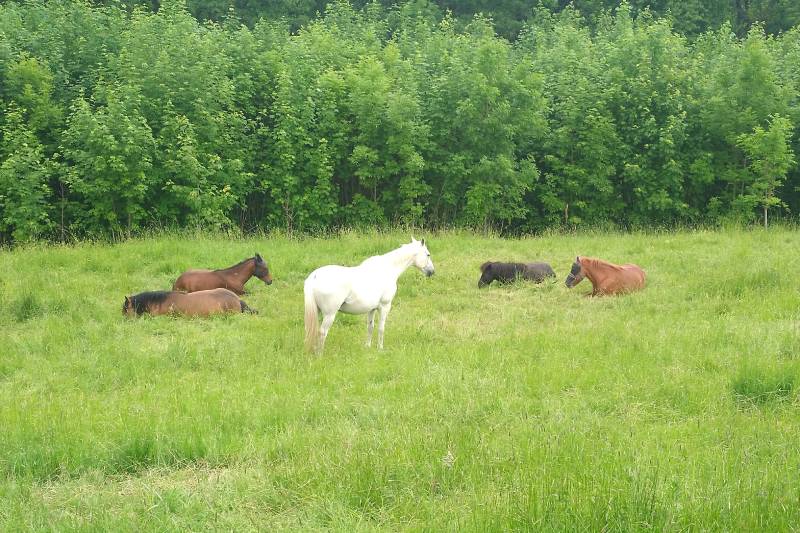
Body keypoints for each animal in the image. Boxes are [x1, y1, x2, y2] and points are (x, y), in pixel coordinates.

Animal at [304, 237, 434, 354]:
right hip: (329, 315)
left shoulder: (372, 309)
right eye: (428, 254)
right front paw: (380, 348)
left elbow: (370, 327)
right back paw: (319, 354)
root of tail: (314, 276)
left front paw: (367, 346)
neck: (388, 269)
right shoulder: (385, 307)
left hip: (317, 312)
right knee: (322, 332)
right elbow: (381, 328)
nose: (432, 272)